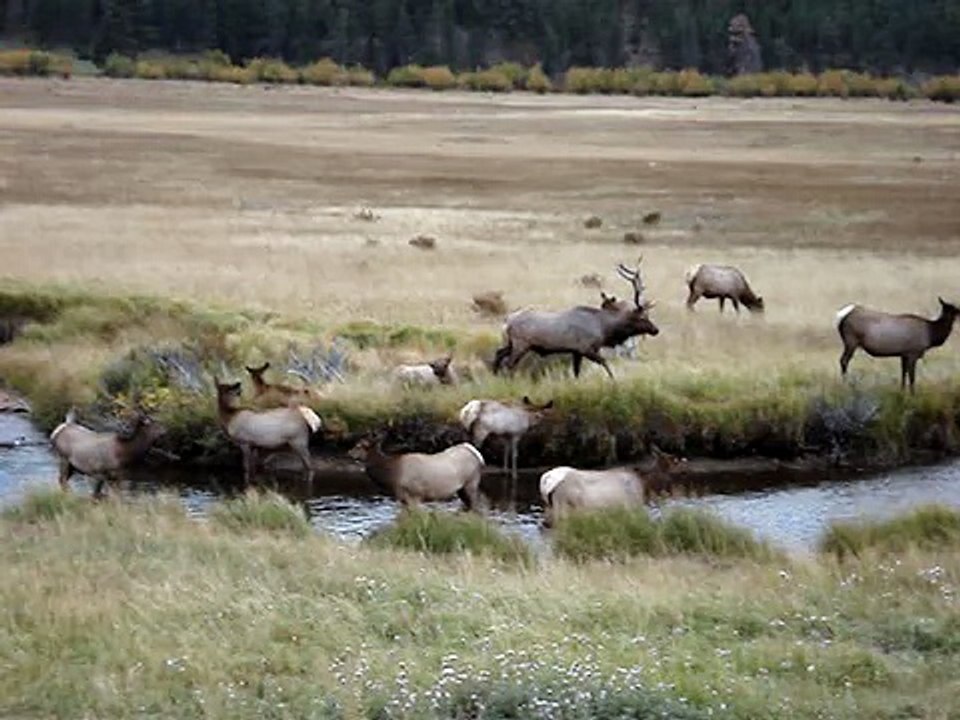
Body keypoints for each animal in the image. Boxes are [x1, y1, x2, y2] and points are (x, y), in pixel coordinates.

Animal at [348, 435, 485, 511]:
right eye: (355, 444)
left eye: (359, 446)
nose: (348, 453)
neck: (392, 475)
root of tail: (477, 454)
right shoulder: (403, 499)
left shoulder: (414, 496)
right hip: (461, 489)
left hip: (471, 483)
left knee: (476, 506)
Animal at [493, 258, 659, 379]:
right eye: (642, 317)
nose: (655, 330)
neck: (604, 328)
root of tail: (506, 322)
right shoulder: (586, 348)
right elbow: (605, 363)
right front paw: (614, 381)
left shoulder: (576, 351)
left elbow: (577, 372)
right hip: (521, 344)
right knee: (509, 363)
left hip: (511, 343)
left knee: (499, 353)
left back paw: (495, 376)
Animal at [539, 445, 687, 526]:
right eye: (674, 460)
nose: (684, 469)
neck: (645, 484)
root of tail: (545, 480)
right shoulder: (632, 505)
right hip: (563, 505)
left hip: (549, 507)